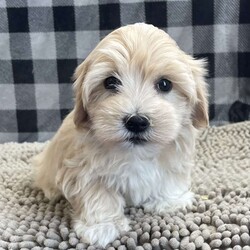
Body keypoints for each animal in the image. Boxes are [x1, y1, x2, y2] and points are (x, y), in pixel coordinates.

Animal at [33, 23, 209, 248]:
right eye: (110, 82)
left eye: (165, 84)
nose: (137, 121)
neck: (136, 153)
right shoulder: (84, 171)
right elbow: (99, 195)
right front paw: (102, 226)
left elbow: (170, 176)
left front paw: (170, 200)